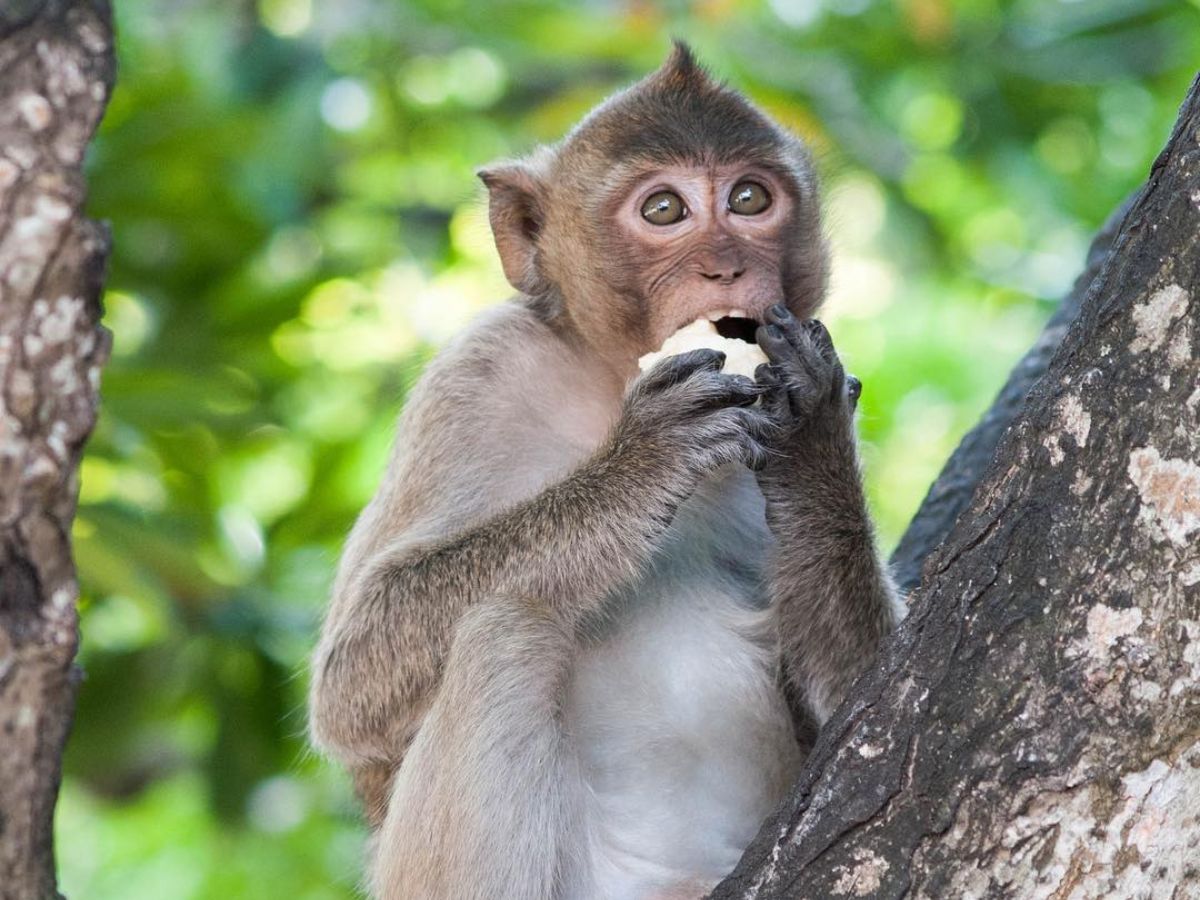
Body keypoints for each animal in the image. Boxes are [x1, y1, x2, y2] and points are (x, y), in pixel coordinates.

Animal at [308, 42, 903, 900]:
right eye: (664, 211)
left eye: (749, 199)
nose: (726, 268)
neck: (609, 383)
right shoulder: (472, 380)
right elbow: (351, 682)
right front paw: (639, 464)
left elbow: (866, 705)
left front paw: (814, 435)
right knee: (508, 629)